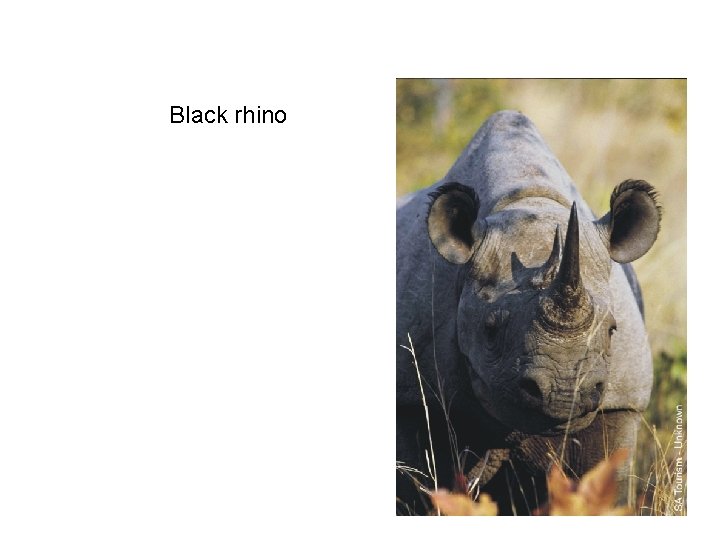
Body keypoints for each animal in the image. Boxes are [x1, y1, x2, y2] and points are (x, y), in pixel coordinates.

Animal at [396, 110, 661, 515]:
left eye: (612, 330)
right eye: (490, 330)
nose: (564, 394)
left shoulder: (620, 402)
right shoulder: (410, 395)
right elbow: (417, 488)